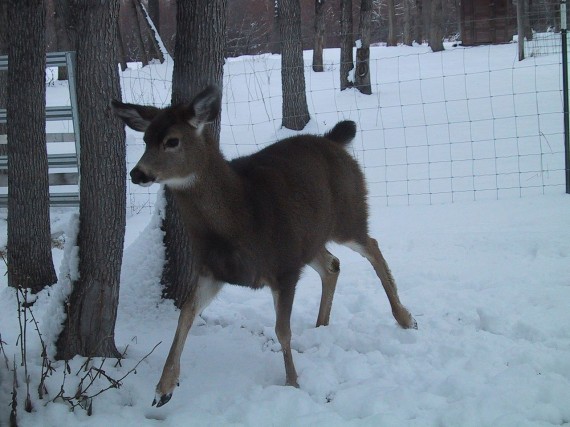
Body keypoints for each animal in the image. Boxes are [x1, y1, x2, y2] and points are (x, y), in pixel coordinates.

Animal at [111, 84, 414, 408]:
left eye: (172, 141)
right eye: (145, 139)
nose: (137, 173)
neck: (239, 217)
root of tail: (333, 141)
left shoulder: (284, 268)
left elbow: (282, 331)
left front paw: (292, 383)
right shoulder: (212, 270)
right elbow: (185, 315)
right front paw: (163, 389)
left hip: (349, 215)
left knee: (372, 246)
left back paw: (405, 318)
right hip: (309, 239)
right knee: (332, 265)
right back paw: (321, 326)